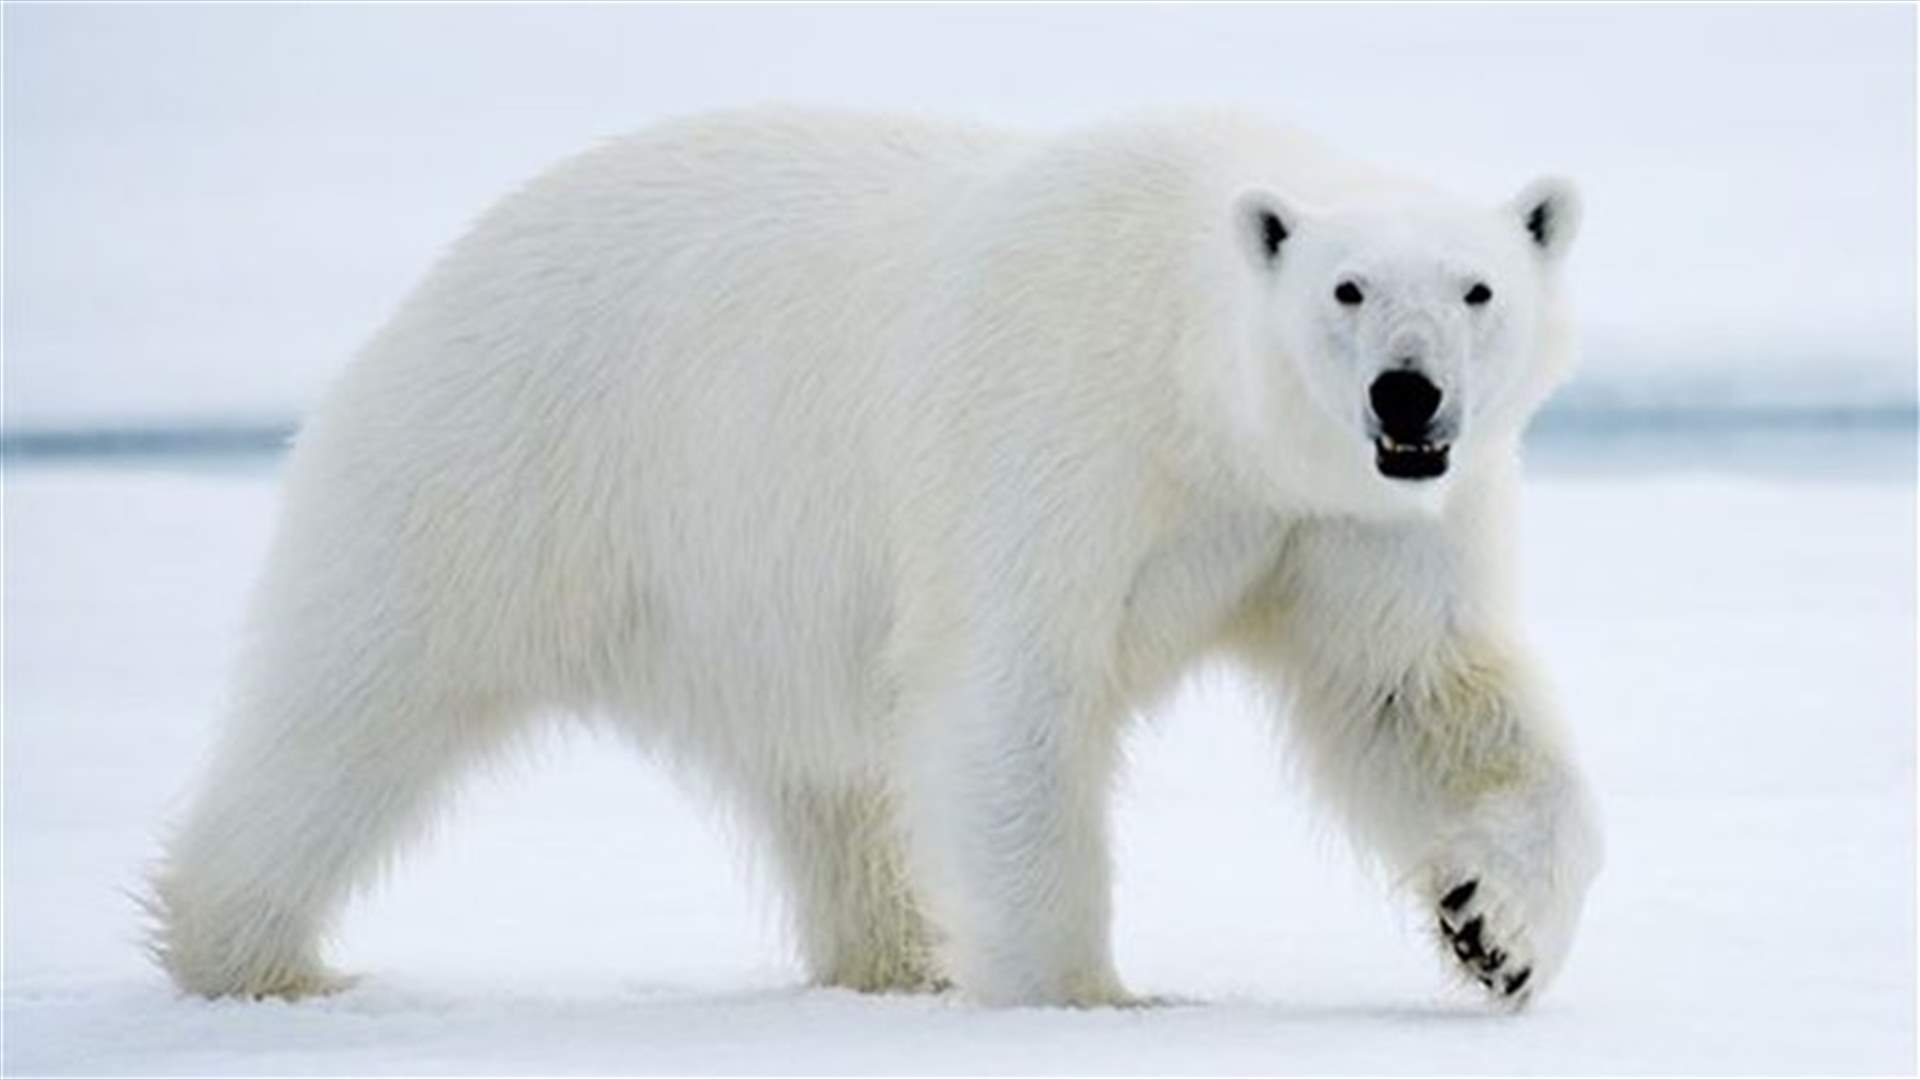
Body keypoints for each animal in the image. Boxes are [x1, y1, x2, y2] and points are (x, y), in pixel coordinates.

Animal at [148, 106, 1603, 1009]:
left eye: (1477, 288)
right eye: (1346, 290)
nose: (1408, 395)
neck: (1200, 395)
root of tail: (450, 265)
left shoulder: (1350, 520)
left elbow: (1415, 695)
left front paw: (1495, 930)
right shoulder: (1060, 439)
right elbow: (1011, 701)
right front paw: (1087, 994)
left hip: (751, 591)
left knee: (836, 785)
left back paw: (898, 955)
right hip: (508, 467)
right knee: (355, 710)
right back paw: (253, 955)